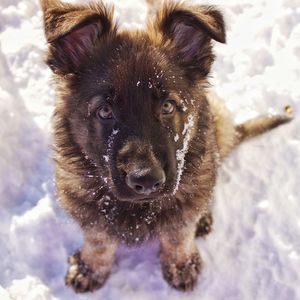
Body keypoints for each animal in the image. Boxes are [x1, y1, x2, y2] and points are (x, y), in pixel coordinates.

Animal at [38, 0, 292, 292]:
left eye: (168, 106)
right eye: (105, 111)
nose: (146, 180)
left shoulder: (183, 207)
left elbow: (177, 235)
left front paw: (181, 265)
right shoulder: (89, 210)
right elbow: (99, 240)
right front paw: (90, 268)